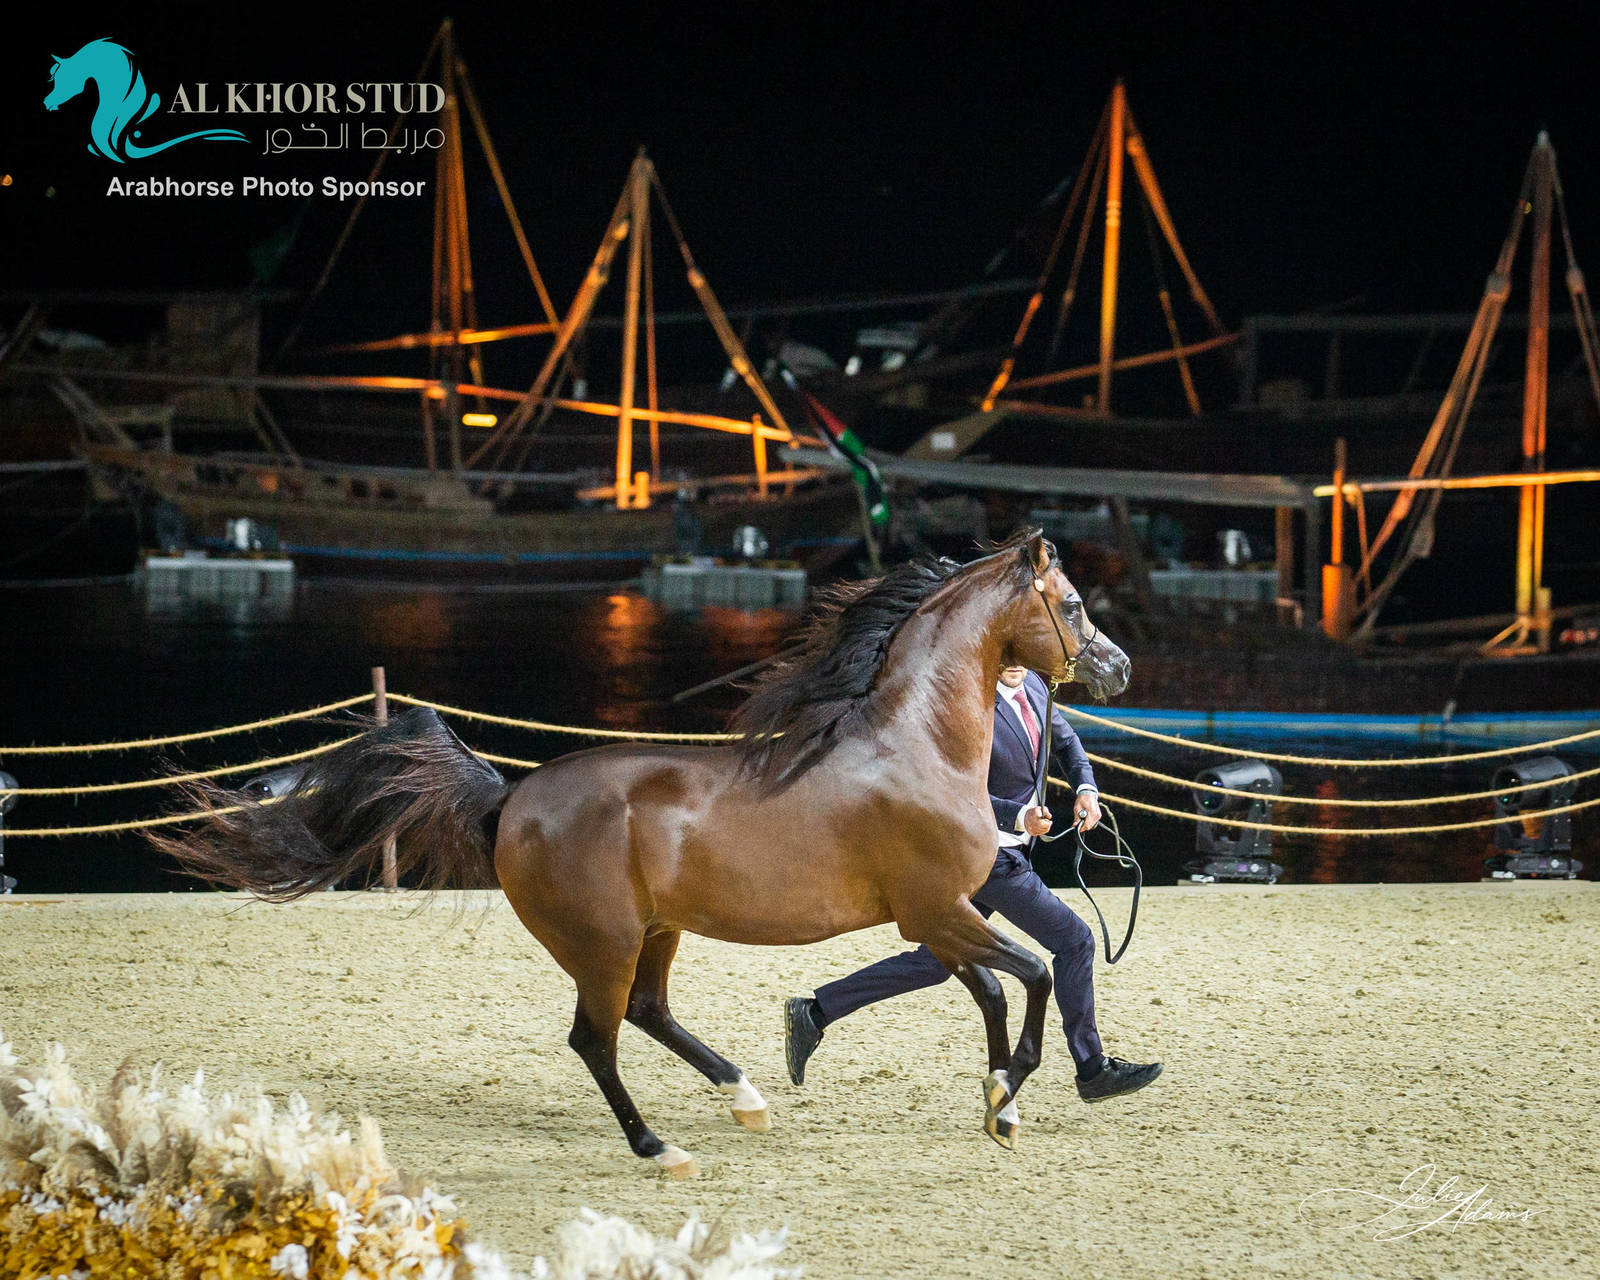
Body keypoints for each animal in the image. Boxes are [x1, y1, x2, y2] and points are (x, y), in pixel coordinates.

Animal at [154, 529, 1131, 1176]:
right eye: (1072, 603)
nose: (1117, 668)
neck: (911, 741)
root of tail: (511, 798)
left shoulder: (939, 916)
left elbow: (998, 989)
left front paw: (999, 1105)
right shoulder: (935, 909)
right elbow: (1032, 977)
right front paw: (1011, 1094)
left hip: (657, 930)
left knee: (649, 1012)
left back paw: (745, 1097)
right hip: (603, 940)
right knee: (596, 1035)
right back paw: (660, 1146)